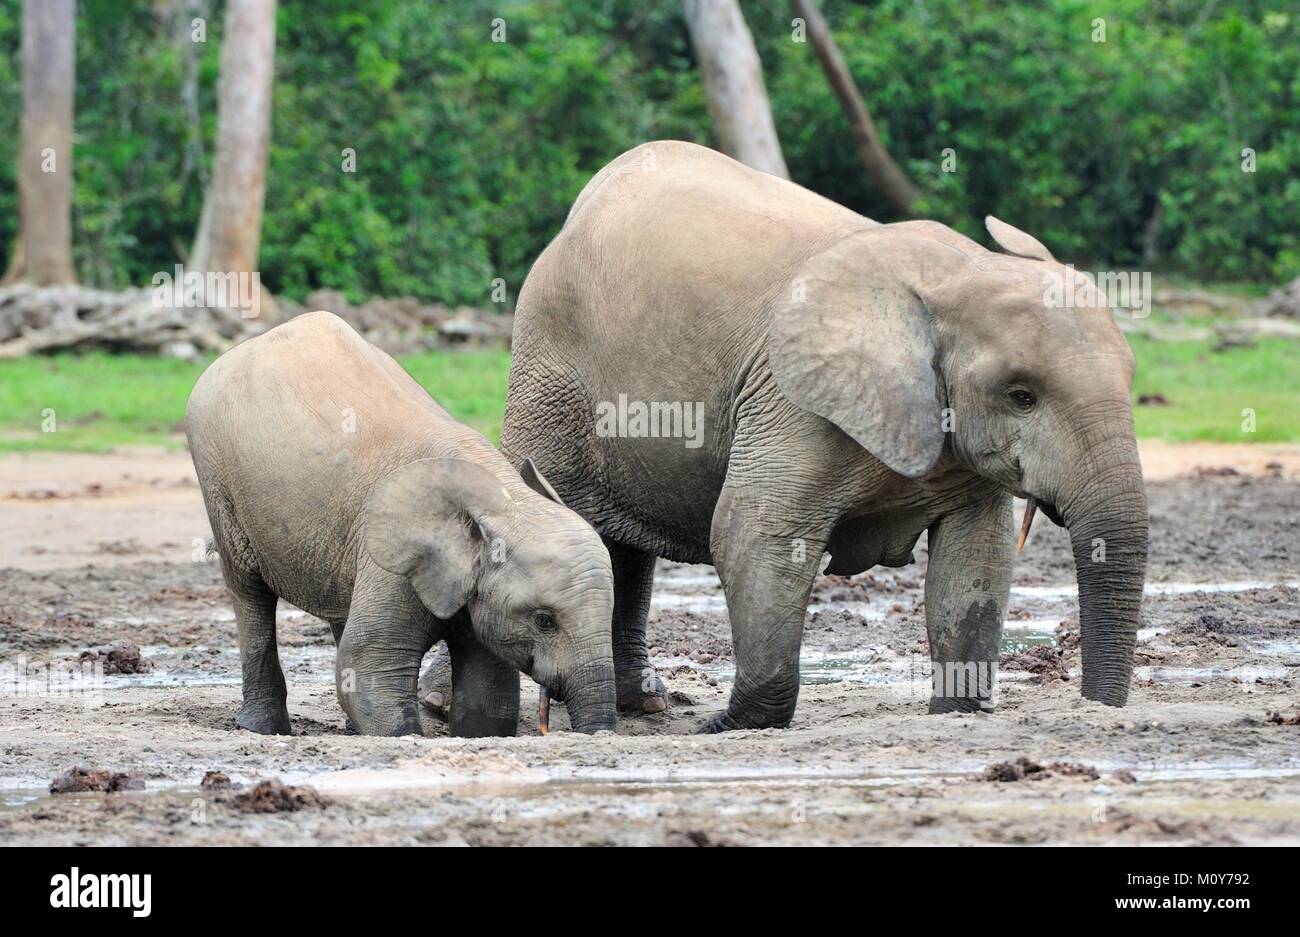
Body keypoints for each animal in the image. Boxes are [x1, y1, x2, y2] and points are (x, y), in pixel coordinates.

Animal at [186, 311, 617, 737]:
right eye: (544, 621)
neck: (502, 499)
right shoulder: (397, 557)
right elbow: (370, 663)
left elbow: (488, 684)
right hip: (218, 479)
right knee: (250, 593)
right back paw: (261, 729)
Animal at [500, 140, 1148, 731]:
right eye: (1020, 395)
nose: (1096, 710)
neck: (957, 271)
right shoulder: (792, 399)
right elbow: (752, 532)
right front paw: (732, 725)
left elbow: (975, 558)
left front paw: (957, 713)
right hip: (550, 376)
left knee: (623, 549)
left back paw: (644, 704)